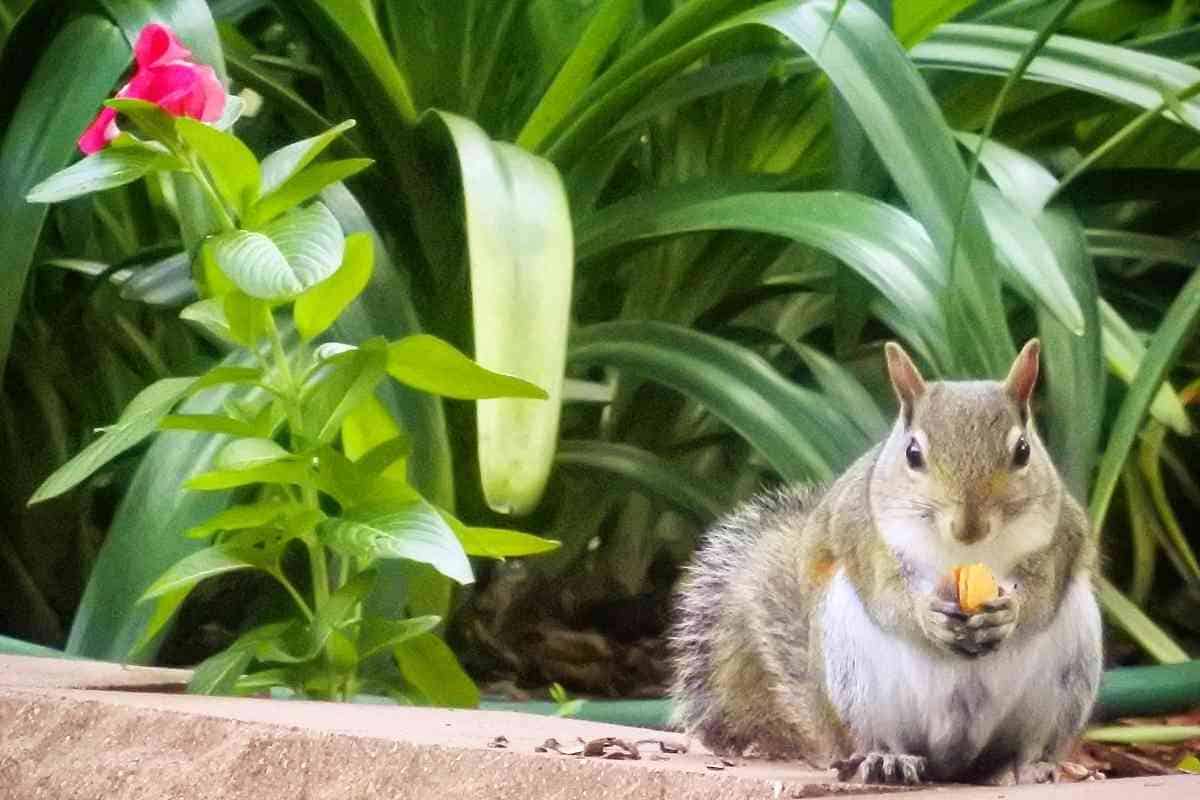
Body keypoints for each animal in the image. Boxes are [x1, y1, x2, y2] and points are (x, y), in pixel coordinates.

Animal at [672, 340, 1099, 786]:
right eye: (912, 453)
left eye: (1023, 451)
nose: (969, 527)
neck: (965, 553)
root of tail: (952, 764)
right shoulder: (865, 537)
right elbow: (887, 598)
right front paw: (927, 615)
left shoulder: (1062, 535)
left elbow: (1044, 595)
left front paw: (1008, 612)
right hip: (853, 677)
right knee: (873, 736)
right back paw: (888, 759)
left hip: (1070, 674)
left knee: (1026, 742)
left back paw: (1025, 766)